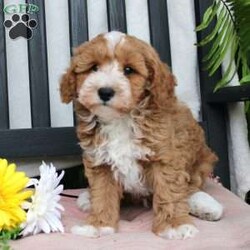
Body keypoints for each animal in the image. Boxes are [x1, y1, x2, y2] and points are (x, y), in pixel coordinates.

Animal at [60, 31, 223, 240]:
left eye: (129, 70)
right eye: (94, 68)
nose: (105, 91)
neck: (121, 119)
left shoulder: (165, 157)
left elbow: (170, 191)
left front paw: (173, 225)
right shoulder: (100, 161)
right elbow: (103, 193)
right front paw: (99, 225)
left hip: (202, 160)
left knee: (192, 186)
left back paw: (204, 205)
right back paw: (87, 198)